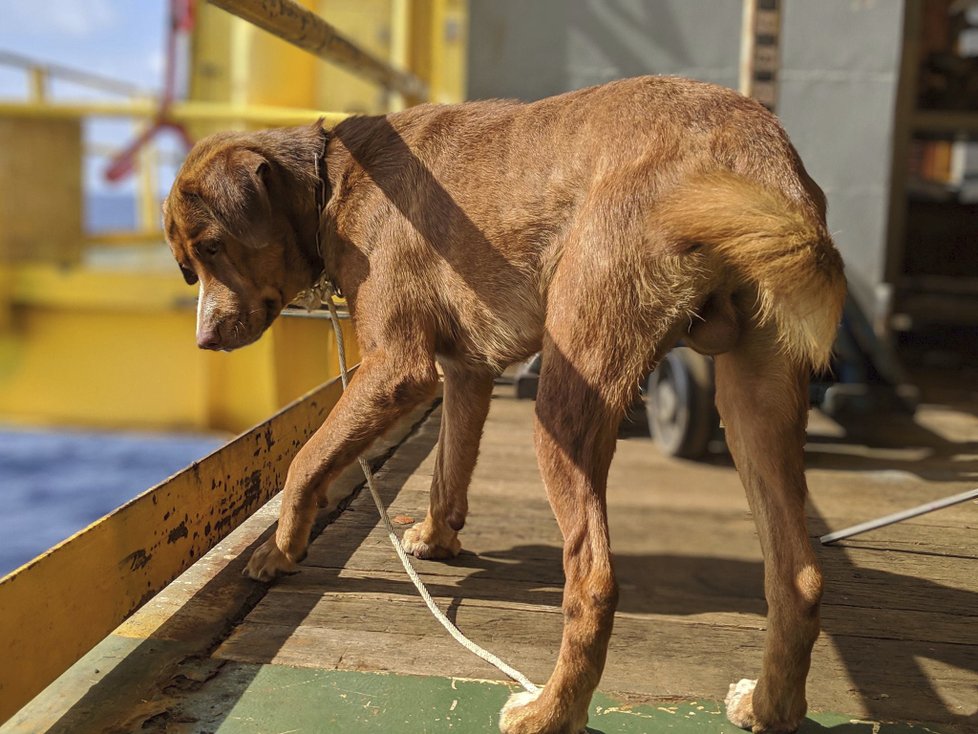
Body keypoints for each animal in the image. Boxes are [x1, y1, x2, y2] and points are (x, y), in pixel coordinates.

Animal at [164, 77, 844, 734]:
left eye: (215, 247)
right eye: (186, 268)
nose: (202, 339)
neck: (334, 177)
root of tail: (754, 152)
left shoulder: (396, 369)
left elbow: (304, 460)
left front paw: (278, 550)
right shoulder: (465, 372)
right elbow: (449, 467)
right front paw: (435, 539)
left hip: (567, 399)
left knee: (593, 580)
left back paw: (550, 713)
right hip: (758, 398)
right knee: (799, 577)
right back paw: (769, 708)